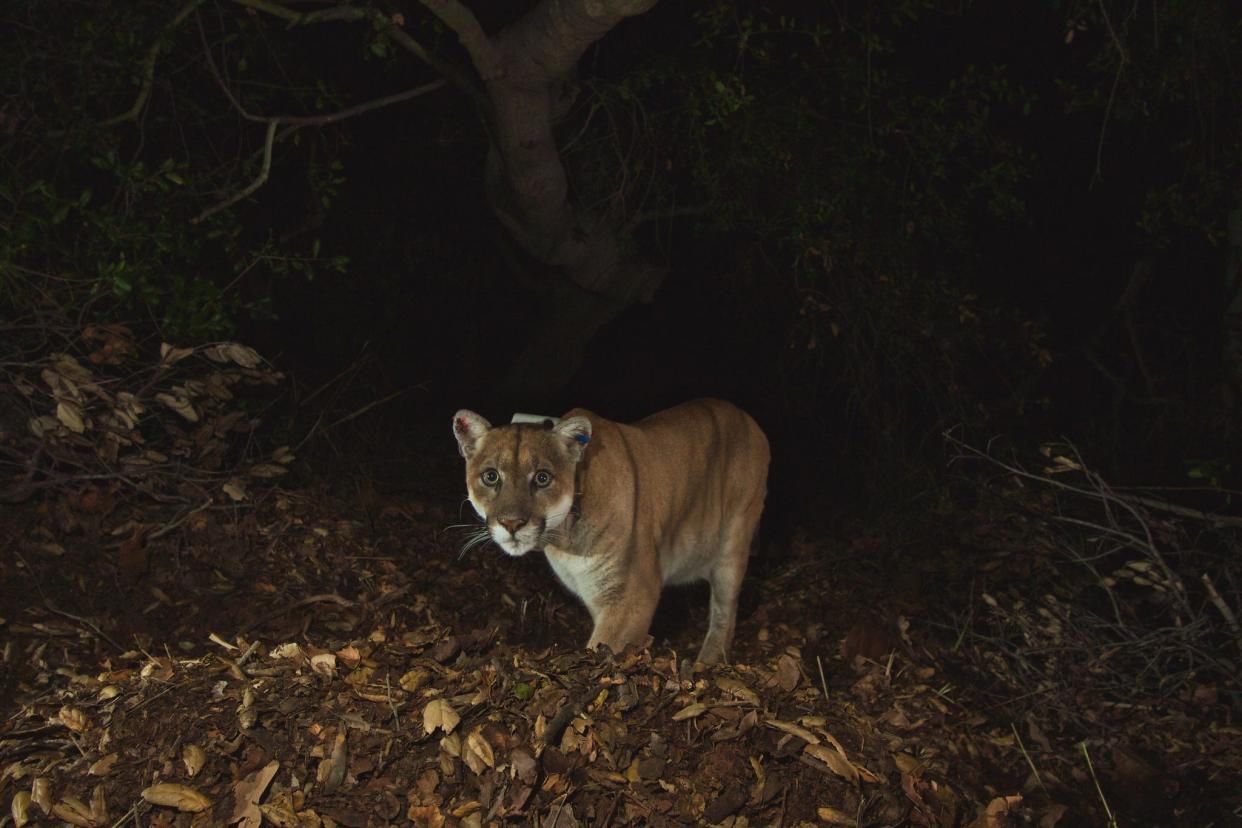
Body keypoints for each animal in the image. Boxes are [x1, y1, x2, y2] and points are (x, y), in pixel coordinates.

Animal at [457, 397, 765, 665]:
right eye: (491, 476)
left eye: (542, 478)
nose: (512, 523)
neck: (564, 538)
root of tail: (746, 417)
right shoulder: (595, 592)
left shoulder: (632, 595)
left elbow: (603, 648)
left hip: (733, 544)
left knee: (725, 612)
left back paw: (709, 661)